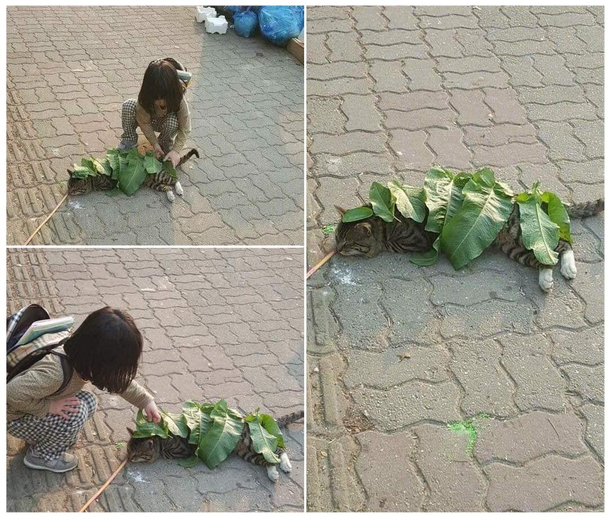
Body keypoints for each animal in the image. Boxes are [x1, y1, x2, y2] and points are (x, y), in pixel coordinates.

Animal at [66, 147, 200, 202]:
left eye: (74, 189)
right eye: (68, 186)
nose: (68, 193)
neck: (92, 176)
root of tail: (157, 160)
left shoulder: (108, 183)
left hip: (158, 175)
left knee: (174, 180)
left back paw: (179, 189)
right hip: (152, 183)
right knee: (166, 187)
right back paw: (171, 196)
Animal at [126, 410, 304, 482]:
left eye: (136, 454)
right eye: (128, 450)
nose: (128, 459)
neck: (160, 436)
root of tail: (247, 419)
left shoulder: (181, 450)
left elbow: (165, 454)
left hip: (253, 441)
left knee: (279, 450)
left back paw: (285, 465)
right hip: (247, 453)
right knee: (267, 460)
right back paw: (273, 473)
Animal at [334, 200, 600, 292]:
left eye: (349, 242)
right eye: (337, 237)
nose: (336, 250)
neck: (382, 216)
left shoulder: (416, 241)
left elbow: (391, 245)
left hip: (520, 233)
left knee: (563, 244)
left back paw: (568, 269)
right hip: (514, 249)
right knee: (545, 259)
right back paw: (547, 280)